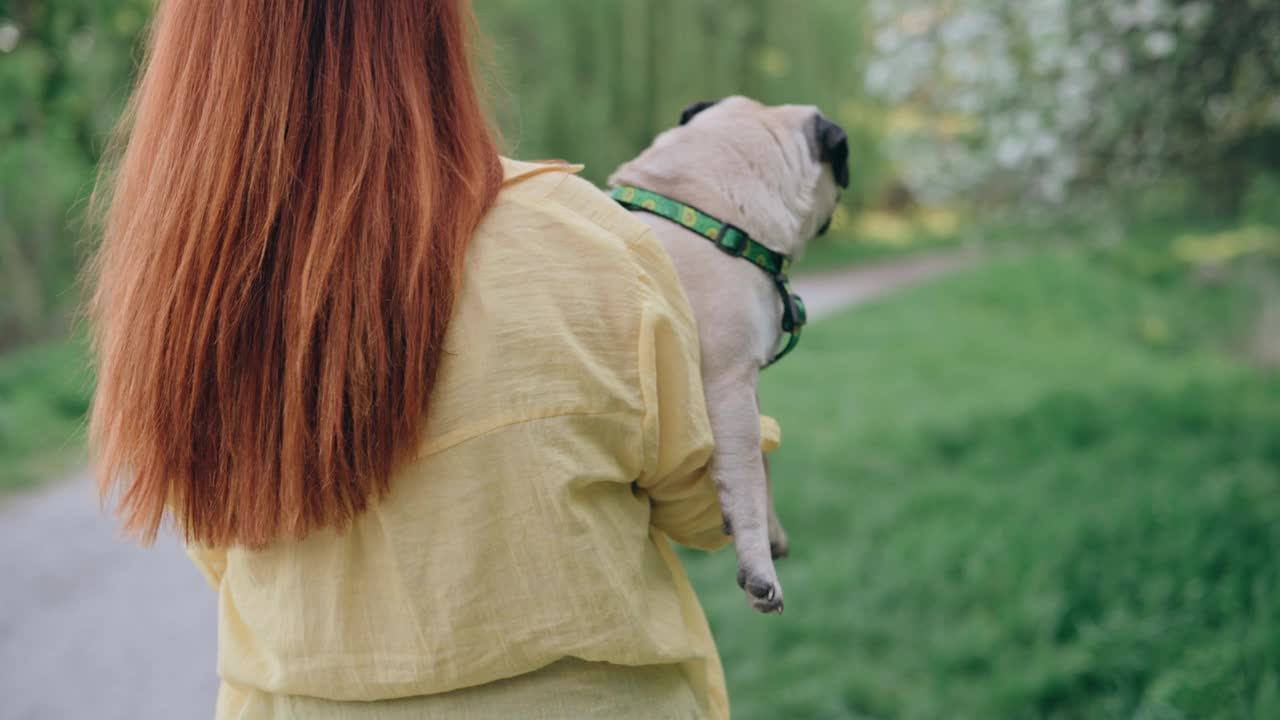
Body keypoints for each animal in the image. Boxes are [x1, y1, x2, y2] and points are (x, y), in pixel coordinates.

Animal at [609, 95, 849, 609]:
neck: (710, 208)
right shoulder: (729, 383)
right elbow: (749, 472)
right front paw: (759, 565)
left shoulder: (744, 386)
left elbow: (762, 464)